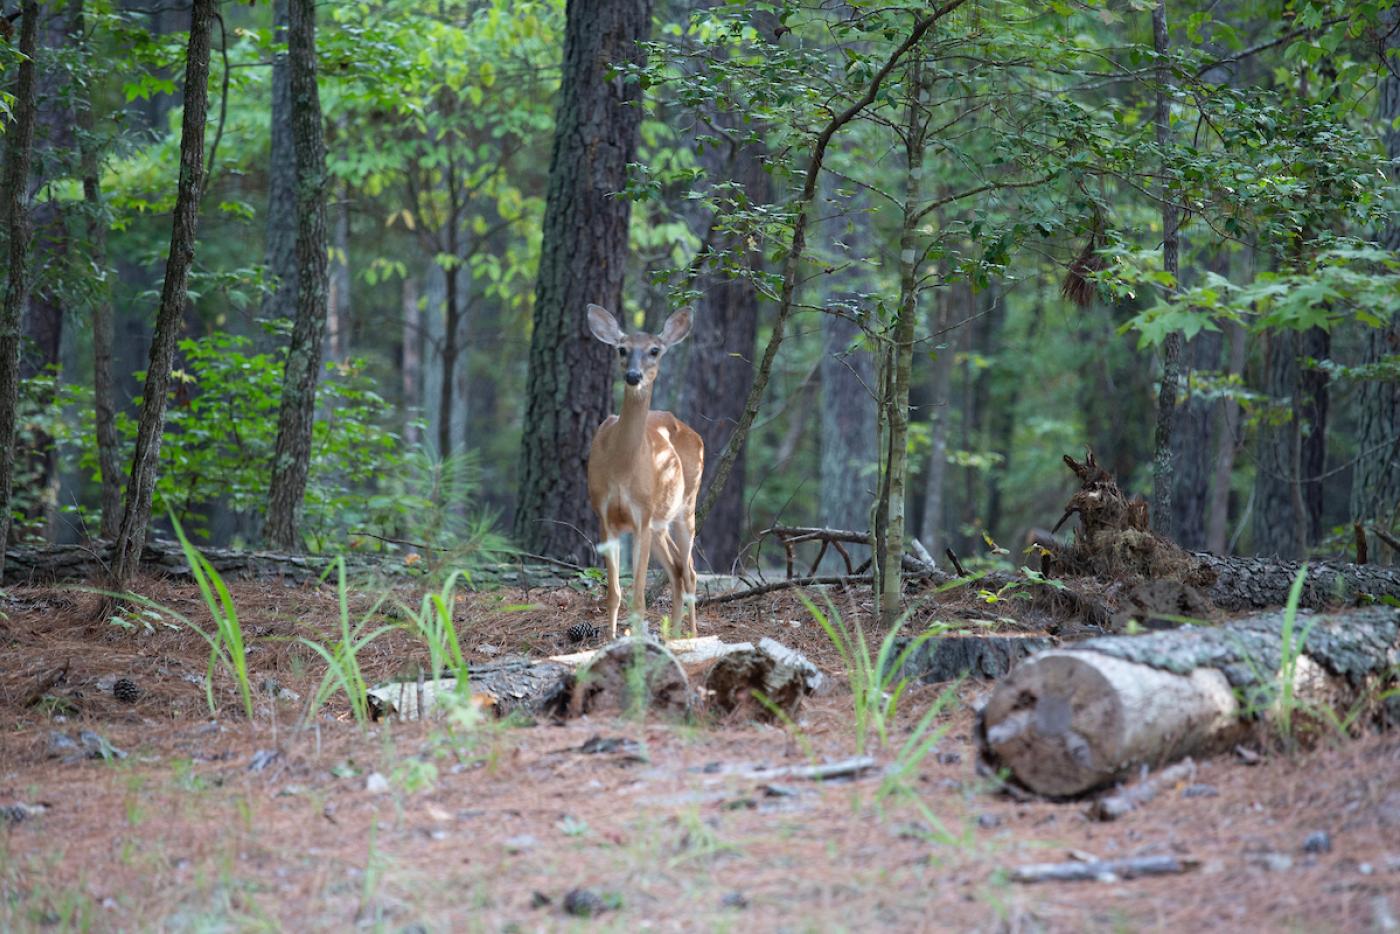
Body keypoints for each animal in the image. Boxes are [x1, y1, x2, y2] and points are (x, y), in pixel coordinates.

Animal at [585, 303, 704, 640]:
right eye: (622, 349)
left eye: (654, 350)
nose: (633, 375)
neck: (622, 467)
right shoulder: (605, 515)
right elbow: (614, 593)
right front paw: (611, 640)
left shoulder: (642, 515)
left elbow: (638, 596)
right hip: (660, 523)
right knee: (677, 568)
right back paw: (673, 633)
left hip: (686, 504)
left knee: (690, 570)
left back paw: (691, 634)